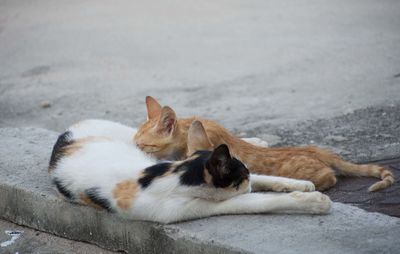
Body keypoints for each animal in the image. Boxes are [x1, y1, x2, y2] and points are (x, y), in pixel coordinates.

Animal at [49, 120, 332, 223]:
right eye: (241, 179)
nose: (249, 183)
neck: (176, 174)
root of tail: (70, 128)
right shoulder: (194, 208)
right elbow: (257, 202)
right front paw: (314, 201)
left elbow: (265, 176)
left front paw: (300, 184)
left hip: (134, 139)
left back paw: (258, 141)